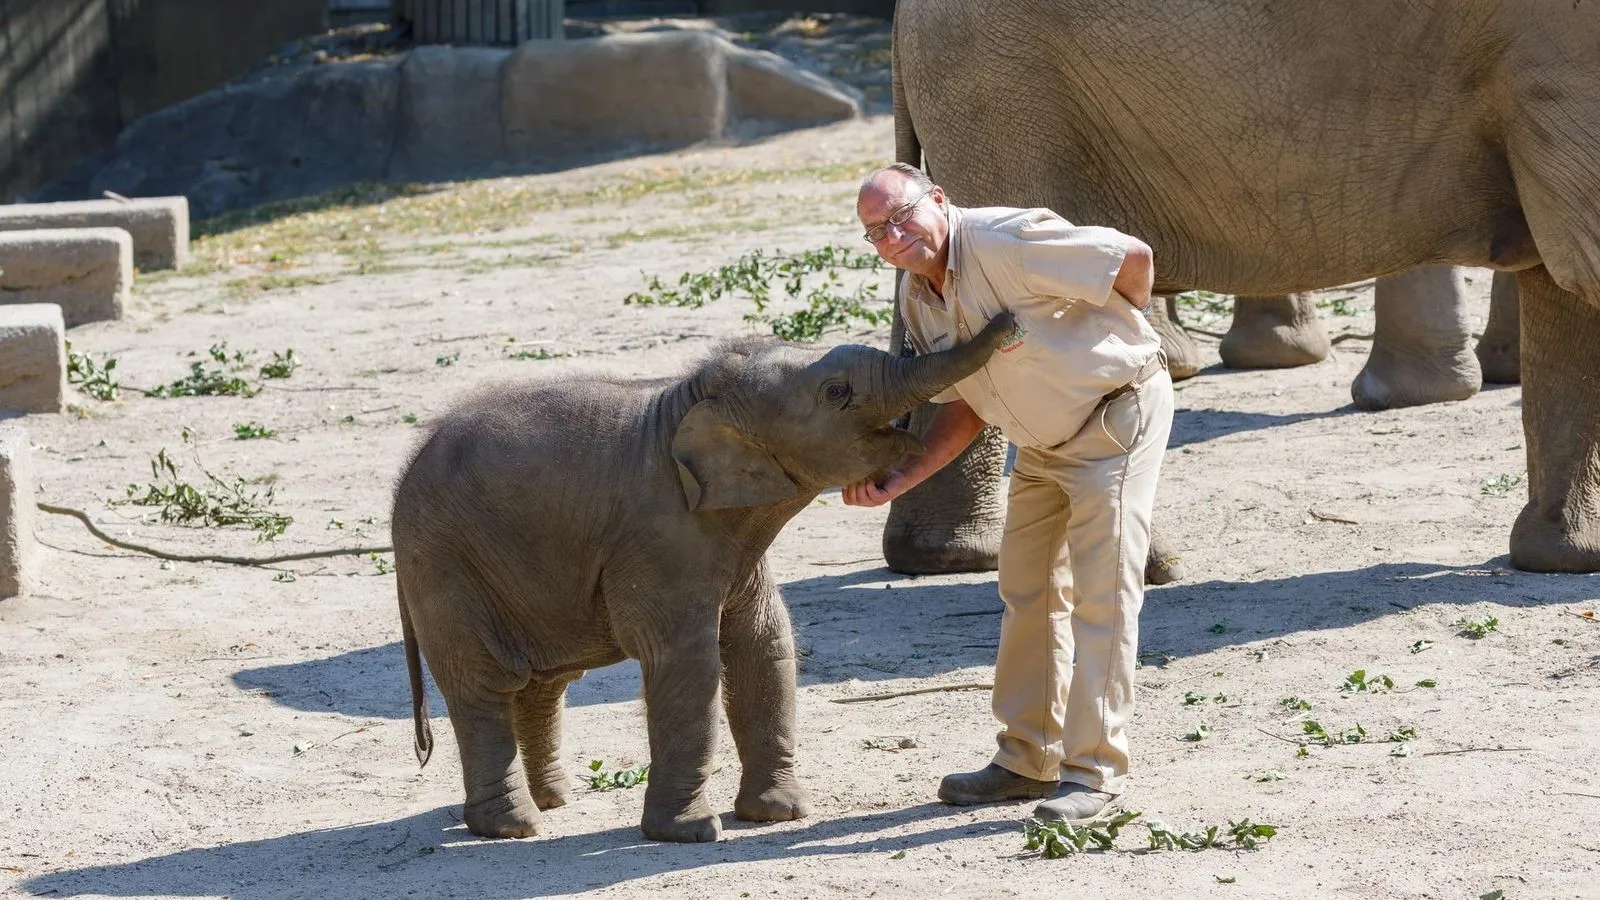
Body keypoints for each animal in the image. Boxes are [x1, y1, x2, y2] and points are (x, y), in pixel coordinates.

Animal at [392, 312, 1011, 839]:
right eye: (836, 392)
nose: (1008, 323)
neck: (689, 397)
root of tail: (401, 480)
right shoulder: (660, 533)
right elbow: (688, 658)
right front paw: (689, 832)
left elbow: (764, 643)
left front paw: (780, 814)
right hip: (445, 565)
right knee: (483, 684)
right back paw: (511, 826)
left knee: (546, 683)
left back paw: (554, 802)